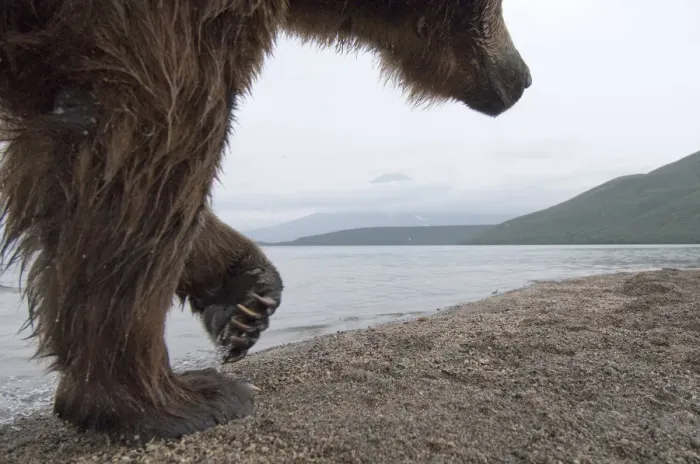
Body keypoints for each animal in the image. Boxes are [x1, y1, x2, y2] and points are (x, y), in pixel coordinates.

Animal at [0, 0, 531, 442]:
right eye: (501, 4)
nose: (523, 76)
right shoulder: (151, 22)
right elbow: (149, 134)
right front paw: (181, 397)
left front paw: (245, 297)